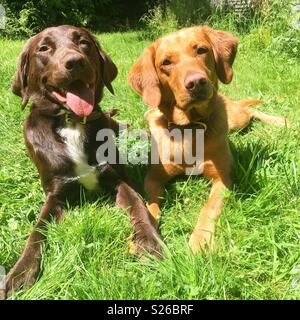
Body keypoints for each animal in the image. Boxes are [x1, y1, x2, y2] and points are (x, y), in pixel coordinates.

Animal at [127, 25, 288, 252]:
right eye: (166, 62)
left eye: (201, 50)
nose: (196, 82)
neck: (190, 129)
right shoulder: (152, 178)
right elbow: (149, 206)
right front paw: (142, 236)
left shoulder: (223, 178)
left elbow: (208, 208)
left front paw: (200, 239)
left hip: (237, 119)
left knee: (250, 110)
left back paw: (282, 121)